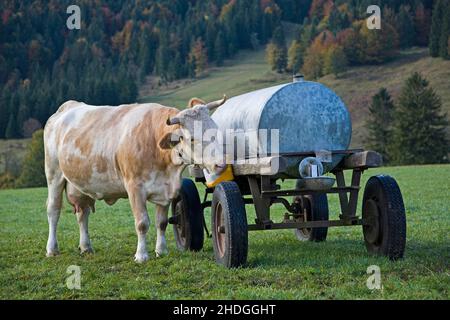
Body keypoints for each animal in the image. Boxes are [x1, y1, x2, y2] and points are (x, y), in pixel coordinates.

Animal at [44, 97, 227, 262]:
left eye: (216, 130)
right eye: (193, 138)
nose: (221, 164)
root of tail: (68, 106)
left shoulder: (165, 189)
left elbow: (161, 222)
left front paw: (161, 251)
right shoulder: (135, 188)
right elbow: (142, 223)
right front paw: (141, 255)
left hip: (81, 184)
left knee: (82, 213)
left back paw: (86, 247)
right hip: (54, 174)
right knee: (53, 210)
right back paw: (52, 249)